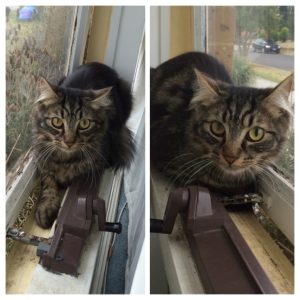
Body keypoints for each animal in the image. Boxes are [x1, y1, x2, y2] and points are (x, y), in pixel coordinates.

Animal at [32, 62, 134, 227]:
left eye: (84, 124)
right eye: (57, 122)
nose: (69, 142)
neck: (64, 158)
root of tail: (102, 65)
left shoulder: (99, 160)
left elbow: (76, 174)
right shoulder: (41, 158)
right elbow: (48, 182)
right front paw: (46, 207)